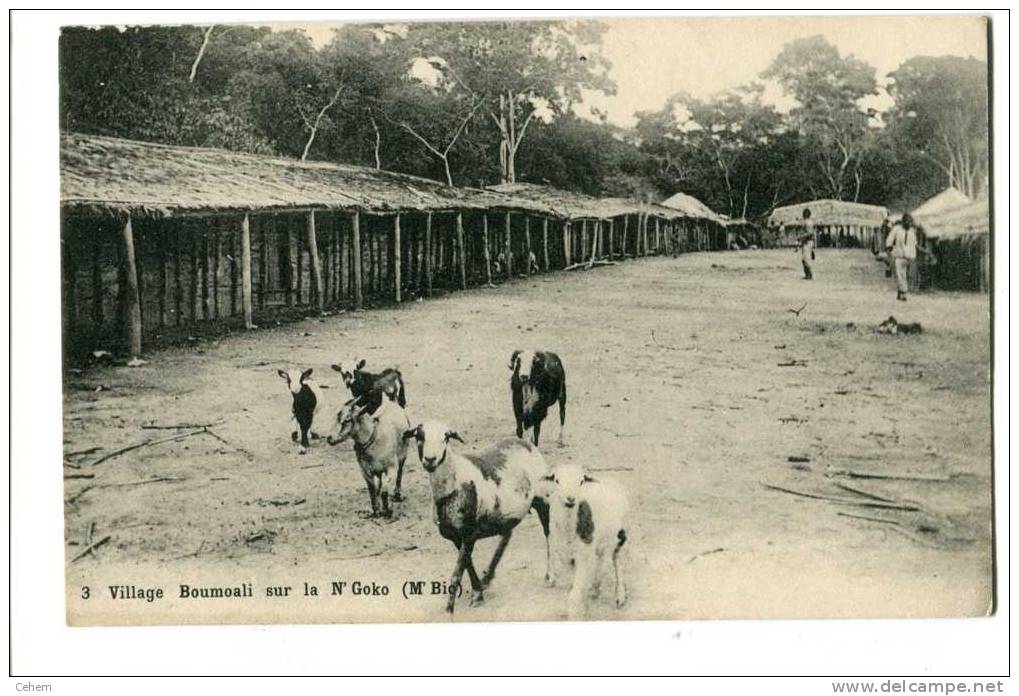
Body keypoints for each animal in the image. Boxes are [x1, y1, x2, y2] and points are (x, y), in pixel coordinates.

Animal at [542, 462, 627, 619]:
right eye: (557, 480)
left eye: (581, 481)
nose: (570, 499)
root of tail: (609, 479)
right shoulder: (565, 553)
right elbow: (574, 585)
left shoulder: (583, 551)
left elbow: (575, 592)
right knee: (601, 558)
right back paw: (596, 586)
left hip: (621, 533)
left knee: (616, 559)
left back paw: (619, 595)